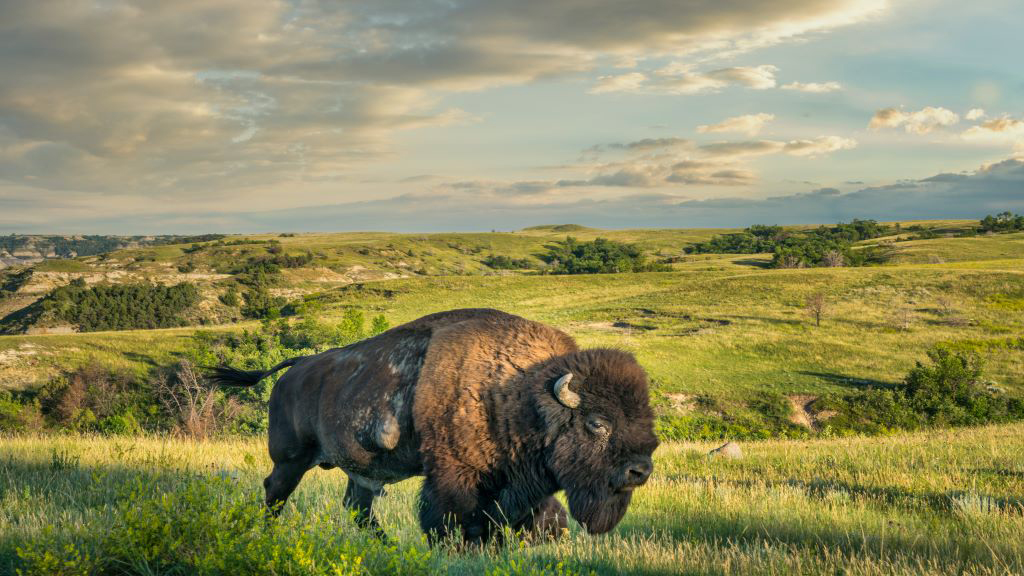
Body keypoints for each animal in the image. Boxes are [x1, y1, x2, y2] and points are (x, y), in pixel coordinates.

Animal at [209, 307, 655, 541]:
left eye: (645, 417)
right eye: (597, 423)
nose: (640, 471)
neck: (521, 392)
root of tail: (296, 368)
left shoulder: (518, 481)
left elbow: (543, 518)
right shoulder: (455, 473)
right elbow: (452, 516)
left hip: (359, 469)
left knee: (357, 506)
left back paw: (385, 545)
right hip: (291, 459)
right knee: (275, 491)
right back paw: (265, 534)